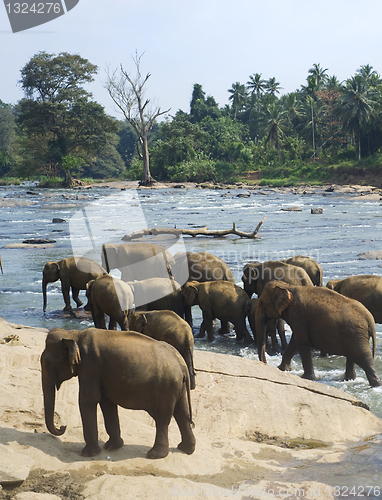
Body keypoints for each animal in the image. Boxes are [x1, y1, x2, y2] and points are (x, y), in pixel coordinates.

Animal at [40, 326, 195, 458]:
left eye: (48, 363)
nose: (63, 426)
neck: (74, 334)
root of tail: (182, 364)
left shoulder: (90, 365)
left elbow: (88, 400)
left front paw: (88, 454)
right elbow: (107, 403)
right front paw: (112, 447)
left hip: (166, 387)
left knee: (163, 419)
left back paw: (154, 455)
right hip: (177, 387)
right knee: (182, 414)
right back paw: (186, 449)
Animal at [252, 282, 380, 386]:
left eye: (262, 303)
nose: (265, 363)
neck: (287, 286)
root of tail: (370, 319)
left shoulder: (297, 315)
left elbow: (301, 342)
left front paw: (306, 377)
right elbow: (295, 342)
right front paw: (282, 369)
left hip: (356, 334)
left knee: (363, 357)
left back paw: (376, 385)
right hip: (354, 335)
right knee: (353, 356)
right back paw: (348, 380)